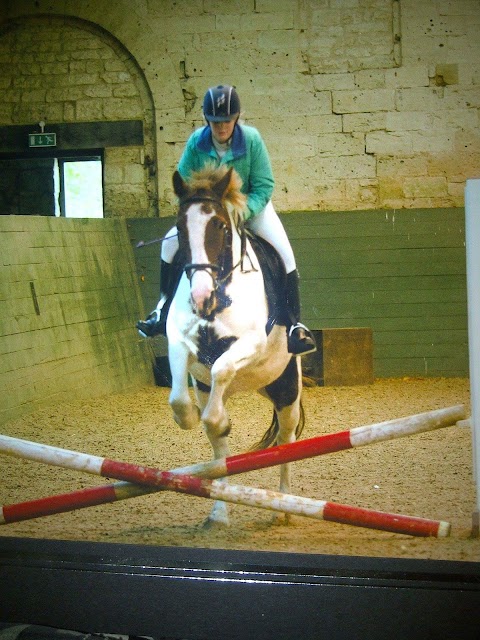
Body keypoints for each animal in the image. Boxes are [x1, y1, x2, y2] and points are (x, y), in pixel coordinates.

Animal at [169, 165, 304, 524]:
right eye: (179, 227)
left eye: (219, 224)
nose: (201, 296)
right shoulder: (179, 339)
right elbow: (178, 394)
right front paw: (190, 417)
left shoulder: (253, 341)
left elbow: (223, 366)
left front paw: (217, 420)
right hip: (214, 389)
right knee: (220, 453)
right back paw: (219, 511)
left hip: (286, 391)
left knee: (286, 439)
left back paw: (285, 506)